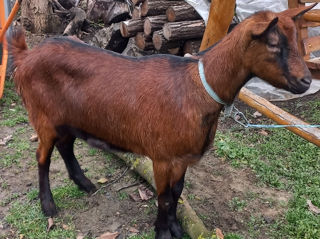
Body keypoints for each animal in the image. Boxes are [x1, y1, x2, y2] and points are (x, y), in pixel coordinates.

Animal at [7, 4, 316, 238]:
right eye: (273, 43)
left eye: (298, 41)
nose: (305, 81)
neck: (197, 88)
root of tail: (26, 55)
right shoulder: (162, 156)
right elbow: (164, 196)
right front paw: (163, 231)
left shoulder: (183, 157)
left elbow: (177, 193)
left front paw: (176, 228)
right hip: (42, 115)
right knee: (42, 156)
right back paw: (48, 206)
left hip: (70, 117)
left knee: (66, 146)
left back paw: (85, 184)